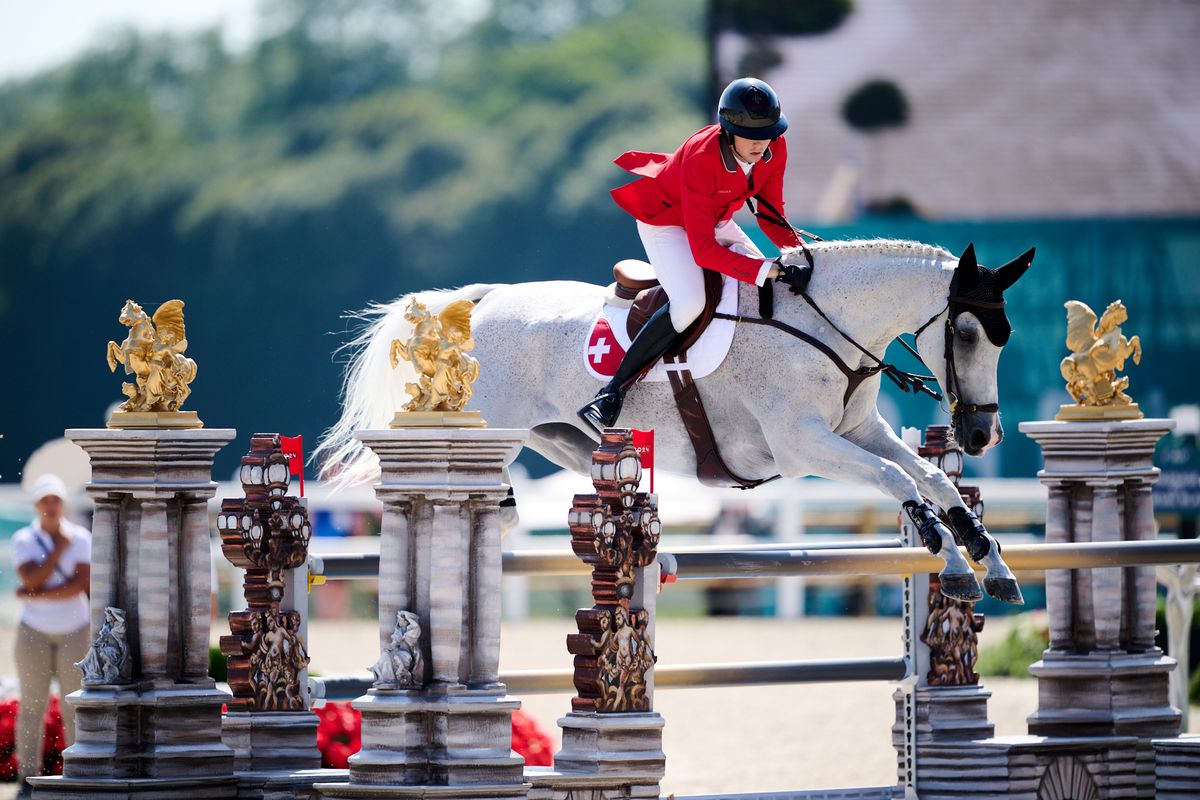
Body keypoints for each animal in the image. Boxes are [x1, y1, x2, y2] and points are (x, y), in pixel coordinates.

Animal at [316, 237, 1032, 599]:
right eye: (967, 332)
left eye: (1003, 338)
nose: (980, 434)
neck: (826, 325)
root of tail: (480, 303)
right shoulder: (803, 445)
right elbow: (900, 481)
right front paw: (954, 563)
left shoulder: (858, 431)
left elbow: (930, 478)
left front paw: (986, 556)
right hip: (490, 430)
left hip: (562, 437)